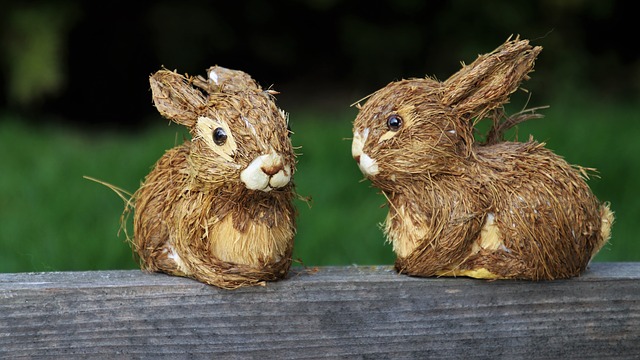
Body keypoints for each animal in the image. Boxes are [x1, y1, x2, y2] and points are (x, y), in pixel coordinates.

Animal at [352, 38, 612, 282]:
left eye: (394, 122)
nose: (356, 154)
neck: (440, 171)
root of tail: (597, 227)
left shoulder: (462, 205)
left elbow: (449, 239)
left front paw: (413, 266)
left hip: (521, 214)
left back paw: (484, 264)